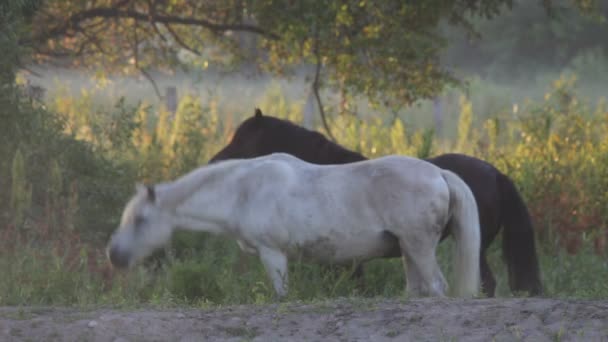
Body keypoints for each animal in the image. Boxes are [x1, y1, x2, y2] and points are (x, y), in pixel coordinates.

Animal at [108, 154, 480, 298]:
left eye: (140, 220)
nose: (114, 256)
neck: (243, 190)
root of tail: (438, 173)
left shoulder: (273, 254)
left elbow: (281, 296)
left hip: (419, 248)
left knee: (437, 288)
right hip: (408, 251)